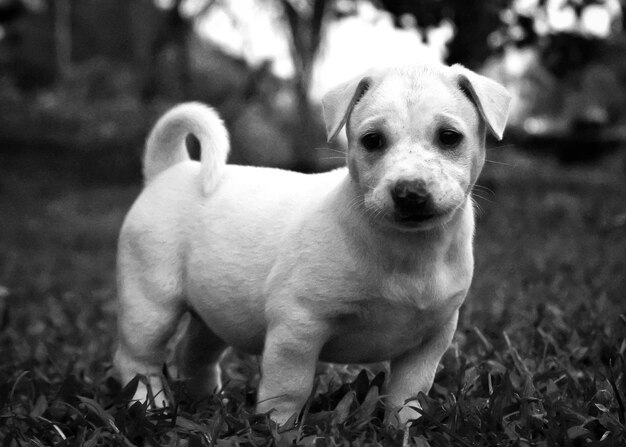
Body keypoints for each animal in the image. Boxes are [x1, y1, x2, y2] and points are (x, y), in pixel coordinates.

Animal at [113, 62, 508, 424]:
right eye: (372, 140)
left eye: (449, 137)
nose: (410, 192)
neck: (407, 248)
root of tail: (170, 170)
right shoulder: (298, 328)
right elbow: (288, 390)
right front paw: (275, 428)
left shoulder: (430, 340)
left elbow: (408, 398)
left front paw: (405, 431)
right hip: (151, 304)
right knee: (138, 361)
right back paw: (150, 406)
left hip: (215, 313)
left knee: (193, 354)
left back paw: (208, 402)